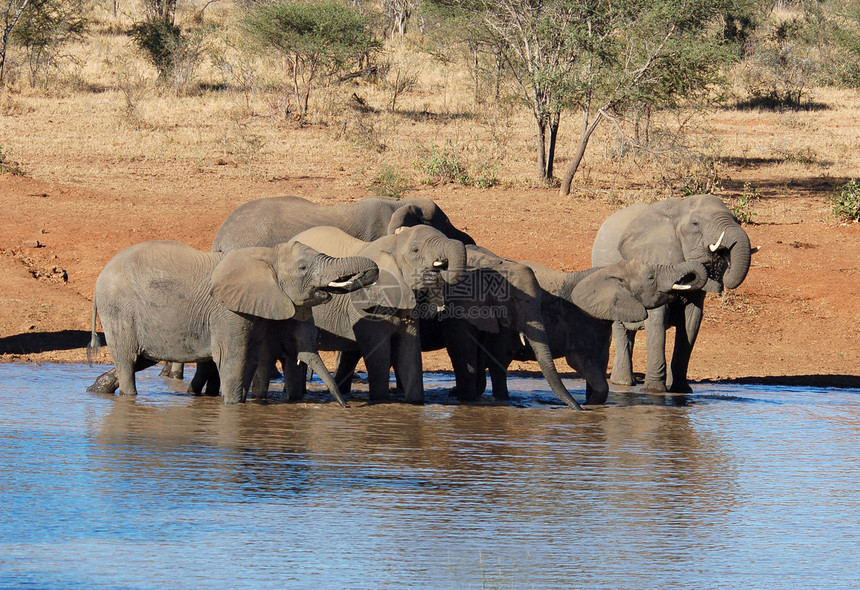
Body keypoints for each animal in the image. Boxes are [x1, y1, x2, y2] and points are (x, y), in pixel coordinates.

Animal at [85, 240, 378, 408]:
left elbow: (250, 358)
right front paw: (233, 407)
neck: (266, 256)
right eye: (303, 268)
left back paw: (95, 389)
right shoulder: (227, 311)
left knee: (140, 358)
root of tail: (100, 277)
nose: (346, 407)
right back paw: (127, 398)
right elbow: (234, 358)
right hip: (118, 311)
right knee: (127, 359)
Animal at [286, 224, 466, 404]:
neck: (393, 243)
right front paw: (382, 401)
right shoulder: (366, 308)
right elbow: (379, 353)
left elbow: (409, 352)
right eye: (415, 250)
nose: (434, 272)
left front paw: (416, 403)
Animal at [478, 260, 704, 408]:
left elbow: (600, 362)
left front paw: (591, 402)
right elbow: (581, 361)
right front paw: (591, 405)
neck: (607, 270)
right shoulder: (582, 318)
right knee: (500, 363)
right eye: (651, 278)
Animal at [592, 194, 752, 396]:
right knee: (620, 328)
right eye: (695, 224)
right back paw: (623, 383)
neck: (680, 208)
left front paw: (681, 390)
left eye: (736, 220)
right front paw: (654, 391)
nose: (720, 256)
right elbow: (658, 318)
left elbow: (691, 321)